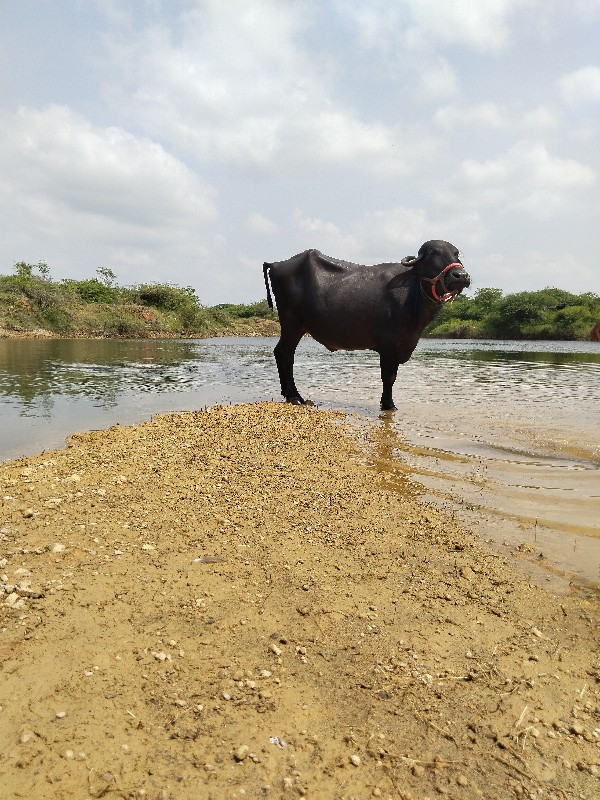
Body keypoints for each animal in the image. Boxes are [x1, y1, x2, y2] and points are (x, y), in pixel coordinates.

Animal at [262, 239, 468, 410]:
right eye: (433, 253)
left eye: (456, 253)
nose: (461, 276)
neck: (411, 294)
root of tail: (276, 264)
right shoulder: (387, 345)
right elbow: (388, 377)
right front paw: (388, 404)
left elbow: (393, 376)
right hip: (291, 323)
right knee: (285, 353)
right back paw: (295, 396)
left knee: (282, 353)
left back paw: (287, 393)